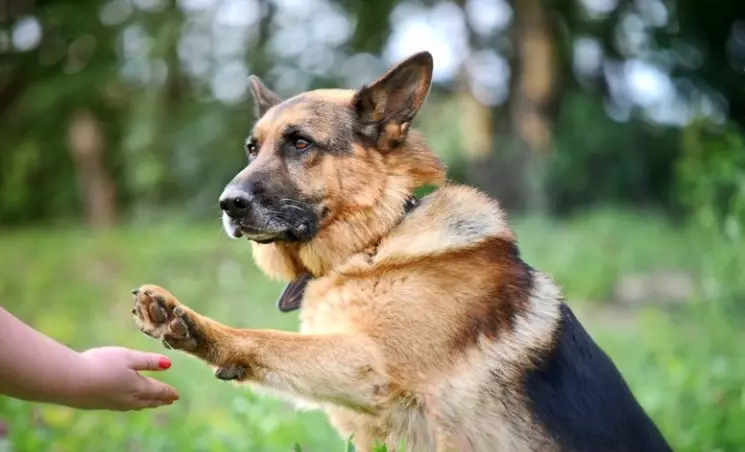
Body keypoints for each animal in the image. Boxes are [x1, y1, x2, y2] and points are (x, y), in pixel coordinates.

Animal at [132, 51, 676, 450]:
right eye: (252, 148)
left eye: (301, 144)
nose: (227, 204)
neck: (377, 239)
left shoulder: (368, 365)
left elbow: (266, 339)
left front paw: (188, 322)